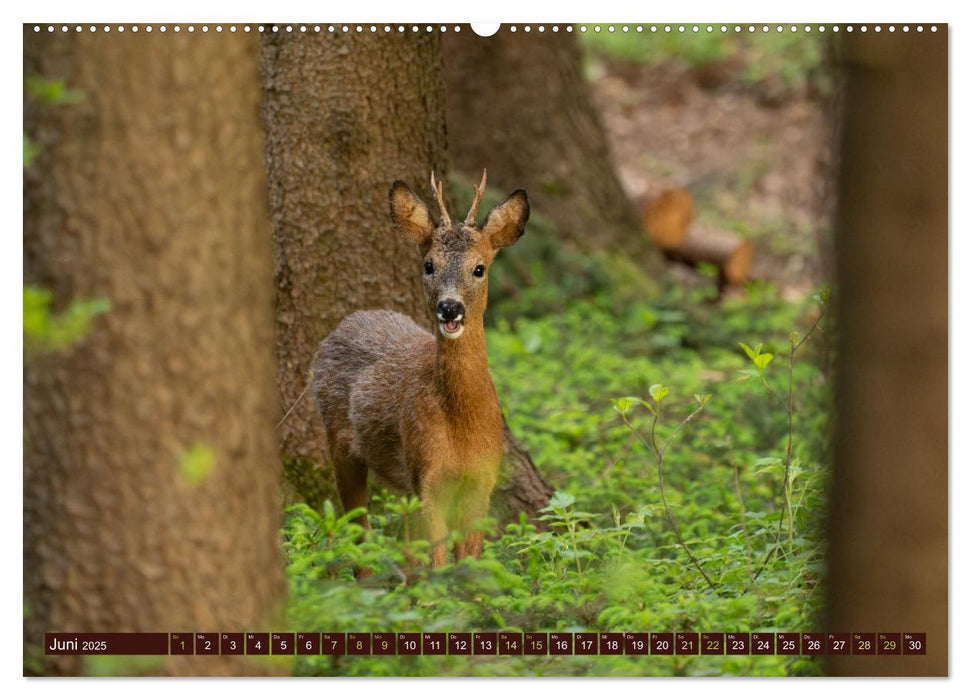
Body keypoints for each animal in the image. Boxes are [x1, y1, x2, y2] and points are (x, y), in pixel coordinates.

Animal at [312, 170, 528, 568]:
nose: (449, 307)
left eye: (479, 268)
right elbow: (438, 562)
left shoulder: (481, 482)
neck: (462, 426)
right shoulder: (426, 475)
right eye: (429, 265)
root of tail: (349, 320)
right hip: (342, 445)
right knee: (355, 530)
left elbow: (468, 562)